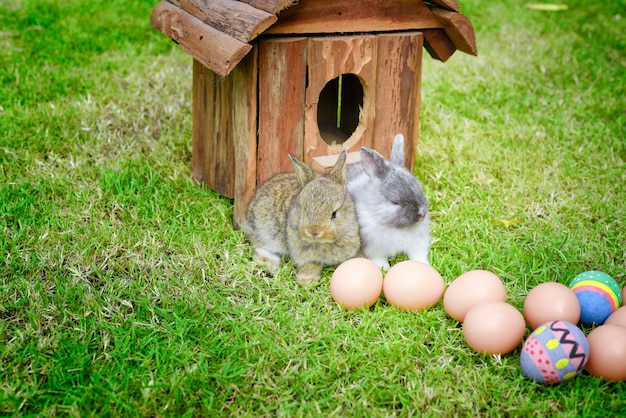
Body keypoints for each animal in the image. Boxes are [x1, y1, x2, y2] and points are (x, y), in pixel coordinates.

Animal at [240, 150, 358, 284]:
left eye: (334, 214)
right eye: (302, 209)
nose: (313, 231)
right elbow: (311, 264)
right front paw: (307, 280)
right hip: (265, 230)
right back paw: (270, 264)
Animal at [346, 134, 428, 272]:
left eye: (419, 187)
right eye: (395, 202)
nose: (422, 213)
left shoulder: (417, 244)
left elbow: (418, 255)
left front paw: (425, 265)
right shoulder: (373, 249)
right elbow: (379, 259)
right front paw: (384, 268)